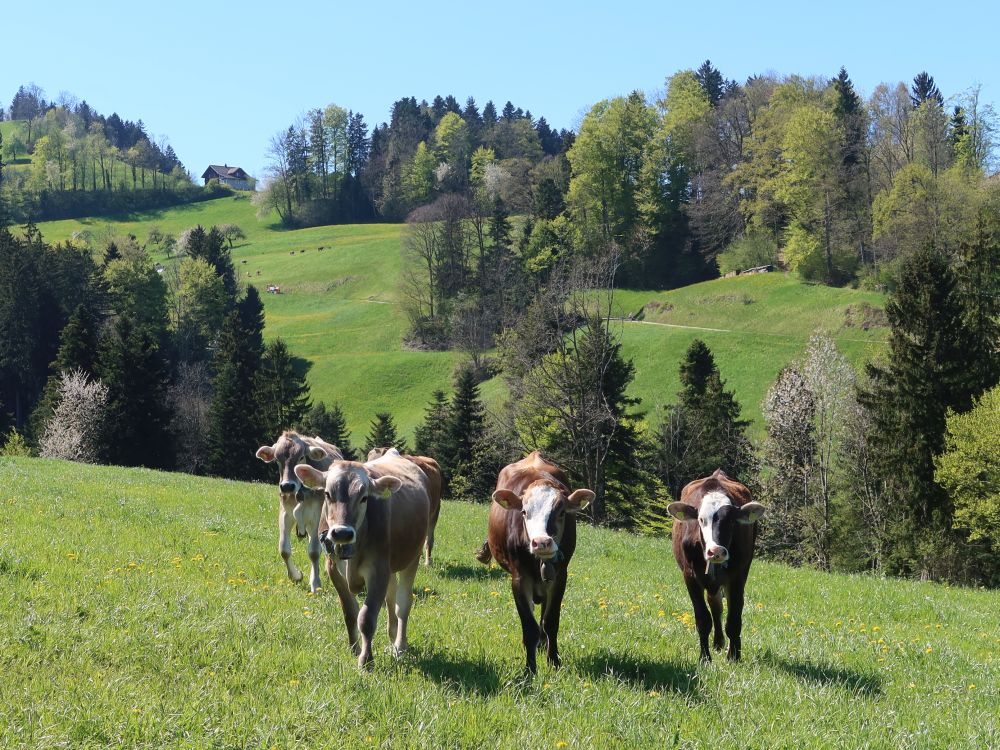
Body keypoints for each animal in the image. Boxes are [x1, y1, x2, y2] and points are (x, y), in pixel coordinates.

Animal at [255, 432, 343, 593]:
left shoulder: (316, 516)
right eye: (277, 460)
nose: (287, 486)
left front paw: (315, 584)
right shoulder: (285, 514)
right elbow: (284, 549)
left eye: (301, 457)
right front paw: (296, 576)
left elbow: (314, 552)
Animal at [295, 450, 430, 668]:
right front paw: (354, 650)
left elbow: (366, 618)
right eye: (327, 494)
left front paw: (366, 661)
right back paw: (391, 638)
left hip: (412, 558)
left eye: (364, 497)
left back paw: (399, 646)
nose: (342, 532)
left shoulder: (378, 571)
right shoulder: (334, 569)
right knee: (391, 598)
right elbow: (350, 613)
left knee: (402, 603)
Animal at [486, 451, 595, 674]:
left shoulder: (560, 577)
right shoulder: (519, 579)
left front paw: (553, 661)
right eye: (524, 512)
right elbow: (529, 626)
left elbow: (551, 621)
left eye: (561, 512)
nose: (542, 542)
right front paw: (530, 669)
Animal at [667, 469, 766, 662]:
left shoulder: (738, 576)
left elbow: (734, 619)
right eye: (700, 519)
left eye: (732, 521)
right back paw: (718, 642)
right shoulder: (690, 576)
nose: (716, 551)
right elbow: (703, 619)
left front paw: (734, 657)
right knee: (715, 605)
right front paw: (705, 658)